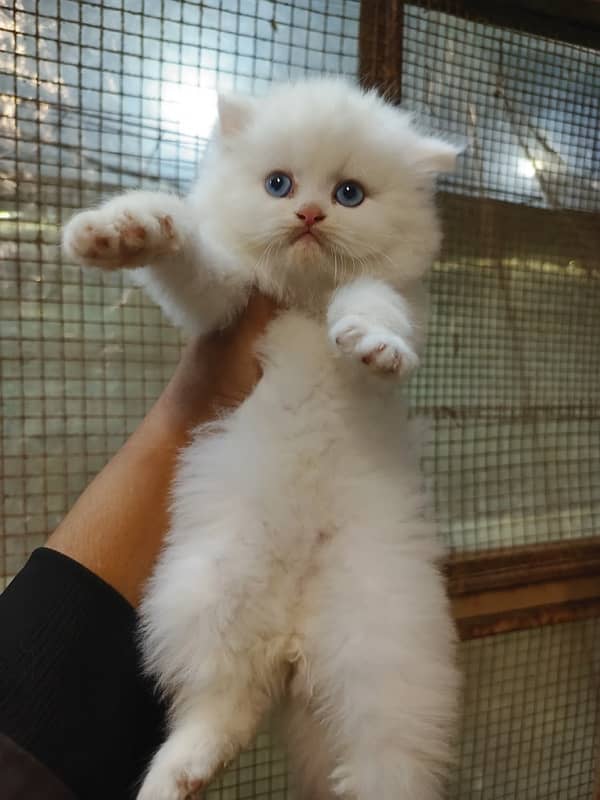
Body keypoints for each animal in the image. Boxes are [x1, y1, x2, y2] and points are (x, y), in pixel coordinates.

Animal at [64, 76, 460, 800]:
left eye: (349, 194)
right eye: (279, 184)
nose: (308, 215)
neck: (302, 300)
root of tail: (293, 638)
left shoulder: (397, 297)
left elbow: (371, 301)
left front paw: (374, 346)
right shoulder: (222, 302)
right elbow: (192, 256)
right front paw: (124, 231)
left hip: (384, 652)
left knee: (380, 763)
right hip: (207, 593)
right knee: (224, 706)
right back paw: (176, 776)